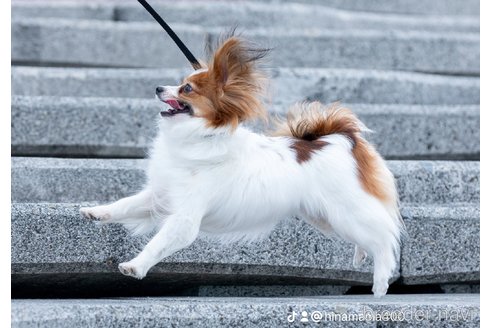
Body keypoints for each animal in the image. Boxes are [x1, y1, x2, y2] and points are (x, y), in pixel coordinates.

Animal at [80, 33, 404, 298]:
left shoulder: (185, 218)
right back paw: (362, 256)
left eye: (186, 89)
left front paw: (135, 267)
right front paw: (96, 212)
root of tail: (339, 139)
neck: (198, 137)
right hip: (326, 217)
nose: (159, 87)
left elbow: (158, 243)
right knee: (372, 235)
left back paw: (381, 282)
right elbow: (125, 204)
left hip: (345, 211)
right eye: (179, 83)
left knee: (384, 238)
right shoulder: (162, 194)